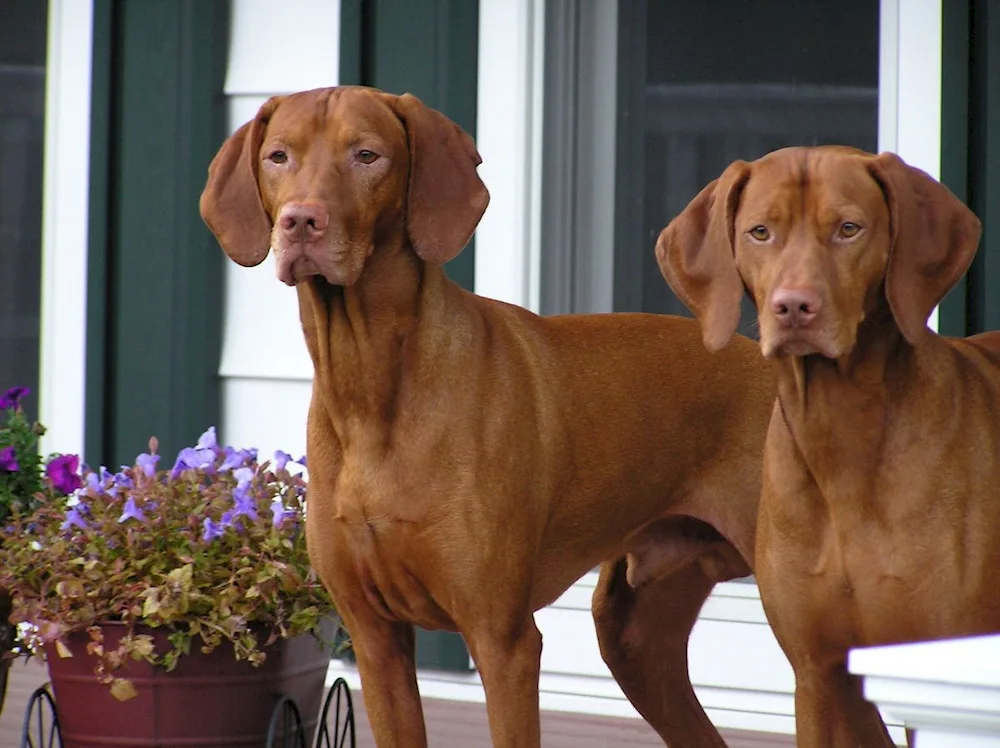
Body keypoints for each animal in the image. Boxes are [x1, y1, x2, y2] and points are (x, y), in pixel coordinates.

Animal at [197, 84, 772, 744]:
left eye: (367, 156)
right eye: (278, 157)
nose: (300, 221)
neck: (370, 386)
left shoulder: (503, 641)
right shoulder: (374, 640)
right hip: (634, 636)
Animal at [656, 143, 1000, 744]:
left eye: (848, 229)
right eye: (760, 232)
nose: (794, 307)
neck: (841, 438)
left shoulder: (934, 673)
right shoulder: (817, 676)